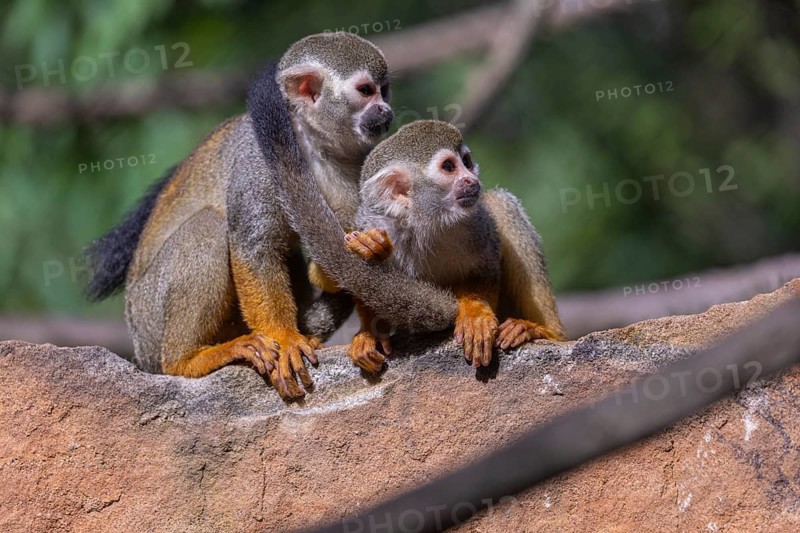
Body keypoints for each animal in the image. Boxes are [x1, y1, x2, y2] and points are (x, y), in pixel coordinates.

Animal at [84, 32, 436, 400]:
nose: (386, 109)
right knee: (207, 228)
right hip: (149, 318)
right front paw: (286, 339)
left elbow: (346, 261)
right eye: (366, 91)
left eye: (385, 89)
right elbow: (254, 247)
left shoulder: (361, 162)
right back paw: (187, 360)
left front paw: (370, 317)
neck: (309, 142)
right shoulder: (259, 159)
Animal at [309, 120, 566, 373]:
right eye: (449, 167)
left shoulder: (477, 223)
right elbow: (364, 280)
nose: (472, 180)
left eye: (466, 162)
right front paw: (370, 333)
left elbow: (487, 270)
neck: (426, 222)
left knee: (499, 203)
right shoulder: (369, 223)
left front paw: (474, 315)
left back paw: (545, 332)